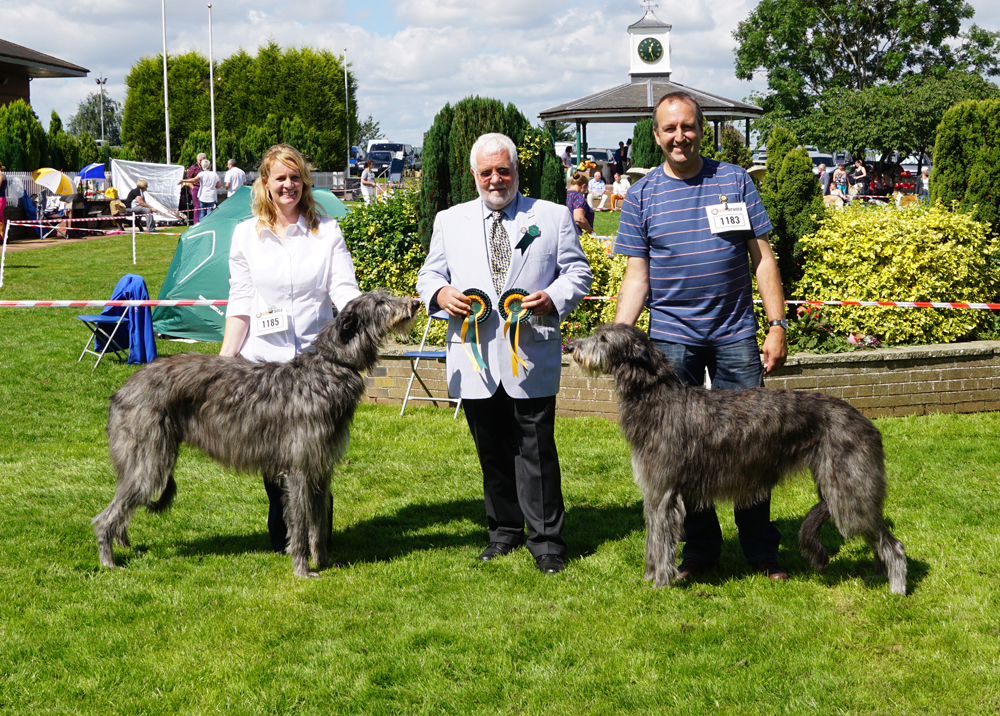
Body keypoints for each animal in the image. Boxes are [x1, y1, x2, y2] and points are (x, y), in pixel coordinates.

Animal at [94, 290, 418, 576]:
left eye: (386, 295)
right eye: (380, 302)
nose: (414, 303)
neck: (327, 369)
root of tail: (123, 389)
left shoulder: (321, 470)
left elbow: (319, 524)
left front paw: (323, 561)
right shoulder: (298, 470)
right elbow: (300, 525)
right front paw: (302, 570)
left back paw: (123, 545)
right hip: (150, 461)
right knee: (103, 517)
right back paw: (109, 561)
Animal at [572, 324, 908, 592]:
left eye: (603, 338)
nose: (573, 347)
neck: (655, 397)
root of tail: (866, 422)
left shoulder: (664, 492)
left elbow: (661, 541)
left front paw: (659, 583)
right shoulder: (654, 493)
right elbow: (653, 539)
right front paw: (649, 578)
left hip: (849, 492)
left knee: (894, 544)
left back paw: (897, 588)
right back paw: (880, 576)